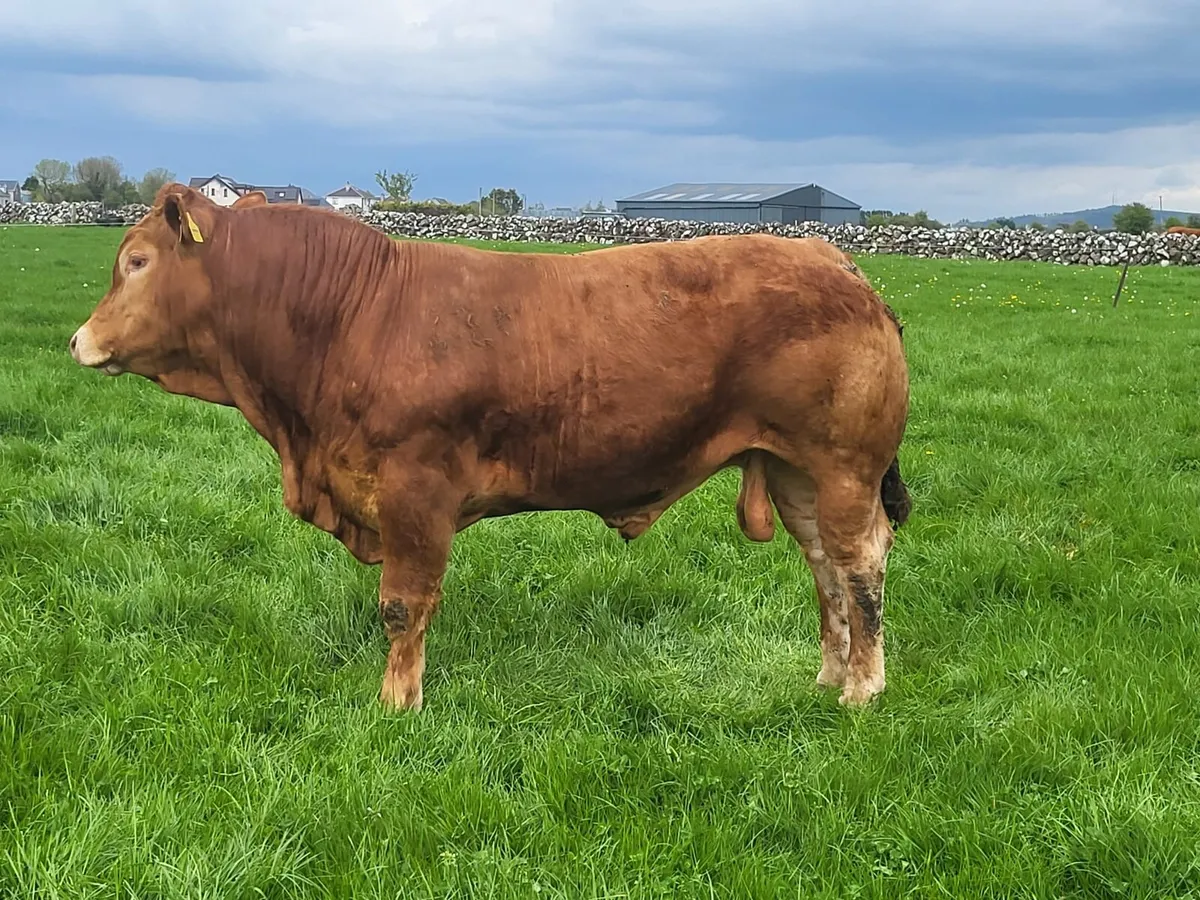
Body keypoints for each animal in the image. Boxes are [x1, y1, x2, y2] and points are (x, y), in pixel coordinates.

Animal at [69, 183, 913, 711]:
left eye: (136, 262)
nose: (78, 340)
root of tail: (832, 257)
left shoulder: (414, 491)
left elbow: (402, 606)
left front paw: (396, 704)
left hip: (843, 468)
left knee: (860, 566)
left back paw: (863, 691)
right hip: (797, 473)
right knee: (826, 571)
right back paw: (828, 678)